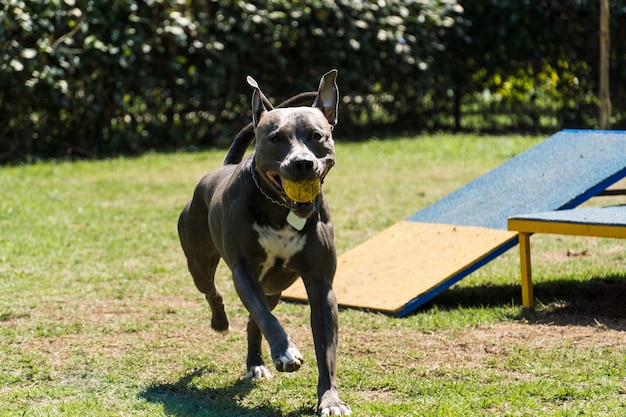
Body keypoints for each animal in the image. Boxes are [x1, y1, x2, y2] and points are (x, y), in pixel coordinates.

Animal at [178, 70, 348, 414]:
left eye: (317, 136)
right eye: (276, 138)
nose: (302, 163)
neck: (281, 210)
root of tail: (221, 168)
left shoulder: (321, 284)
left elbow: (326, 350)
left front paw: (330, 399)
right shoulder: (244, 271)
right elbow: (266, 317)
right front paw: (286, 352)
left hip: (274, 288)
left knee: (254, 320)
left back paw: (255, 362)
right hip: (199, 261)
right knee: (213, 291)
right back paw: (221, 322)